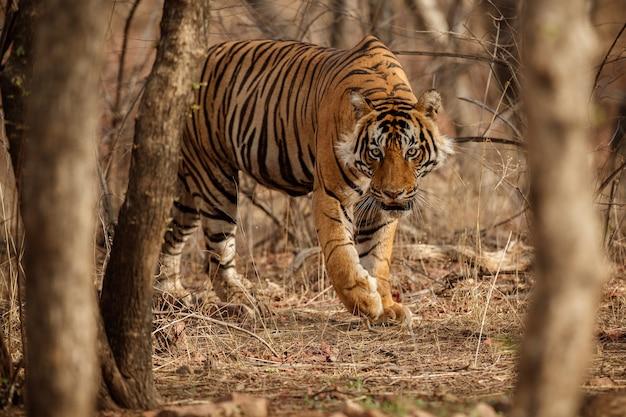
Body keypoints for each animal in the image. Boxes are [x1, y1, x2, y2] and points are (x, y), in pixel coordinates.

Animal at [154, 35, 450, 324]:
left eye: (411, 152)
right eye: (375, 152)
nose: (393, 193)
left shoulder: (378, 206)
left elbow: (378, 256)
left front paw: (387, 307)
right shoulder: (333, 193)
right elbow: (340, 253)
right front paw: (364, 301)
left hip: (189, 187)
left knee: (171, 234)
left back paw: (171, 292)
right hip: (215, 179)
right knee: (217, 257)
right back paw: (246, 303)